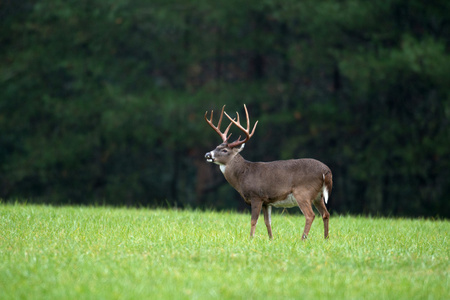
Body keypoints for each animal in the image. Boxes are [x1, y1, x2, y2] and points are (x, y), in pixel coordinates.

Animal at [204, 104, 330, 240]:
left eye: (224, 150)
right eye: (216, 147)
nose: (207, 155)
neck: (242, 175)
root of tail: (326, 170)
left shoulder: (256, 196)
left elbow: (253, 220)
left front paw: (251, 238)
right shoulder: (267, 201)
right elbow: (267, 221)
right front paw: (271, 239)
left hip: (303, 192)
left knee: (310, 215)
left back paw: (303, 239)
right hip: (318, 195)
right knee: (325, 214)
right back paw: (326, 238)